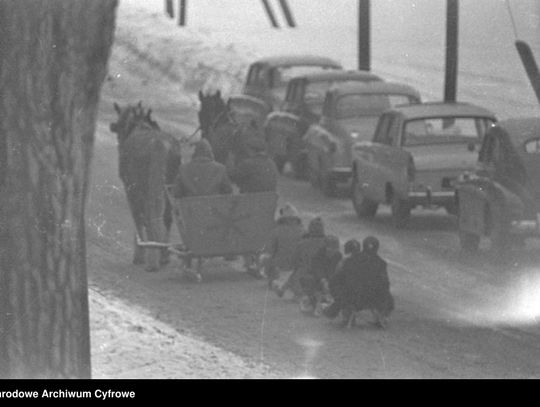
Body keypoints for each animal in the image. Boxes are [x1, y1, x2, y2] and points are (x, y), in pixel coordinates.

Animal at [110, 102, 184, 272]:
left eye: (120, 125)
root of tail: (160, 146)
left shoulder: (130, 189)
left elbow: (138, 218)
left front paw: (139, 255)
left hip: (146, 186)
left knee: (150, 216)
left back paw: (152, 259)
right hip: (170, 186)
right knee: (167, 217)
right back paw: (163, 255)